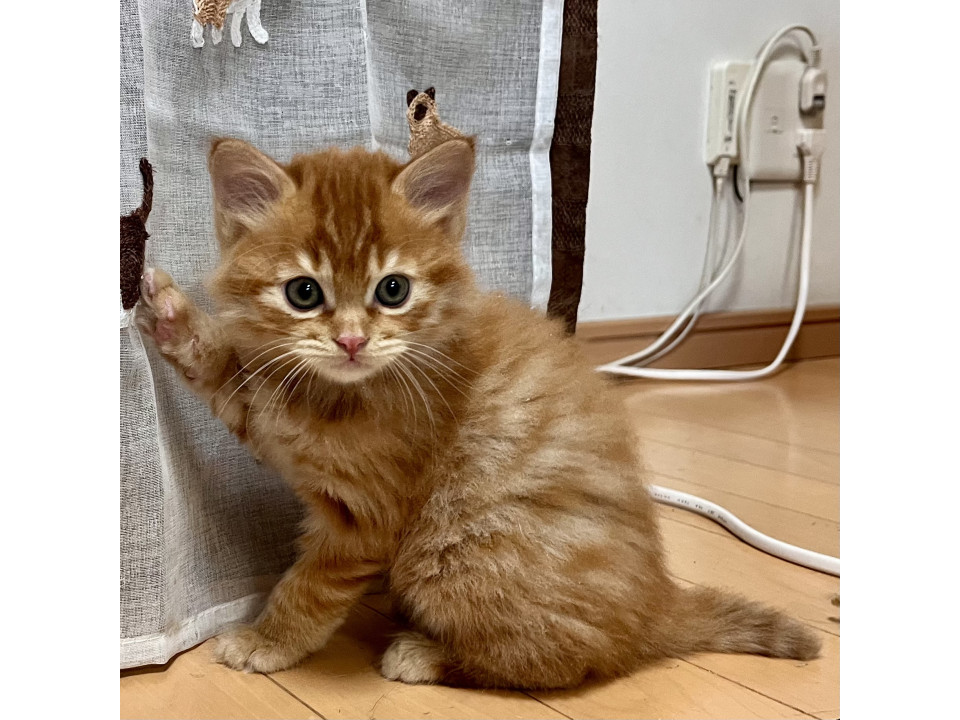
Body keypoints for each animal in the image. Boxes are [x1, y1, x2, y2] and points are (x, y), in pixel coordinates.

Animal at [135, 136, 821, 689]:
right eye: (303, 293)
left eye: (393, 290)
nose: (352, 341)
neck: (335, 391)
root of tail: (656, 608)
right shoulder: (271, 413)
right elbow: (229, 378)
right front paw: (171, 317)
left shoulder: (366, 517)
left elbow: (311, 587)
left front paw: (268, 641)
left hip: (451, 556)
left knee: (562, 662)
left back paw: (426, 655)